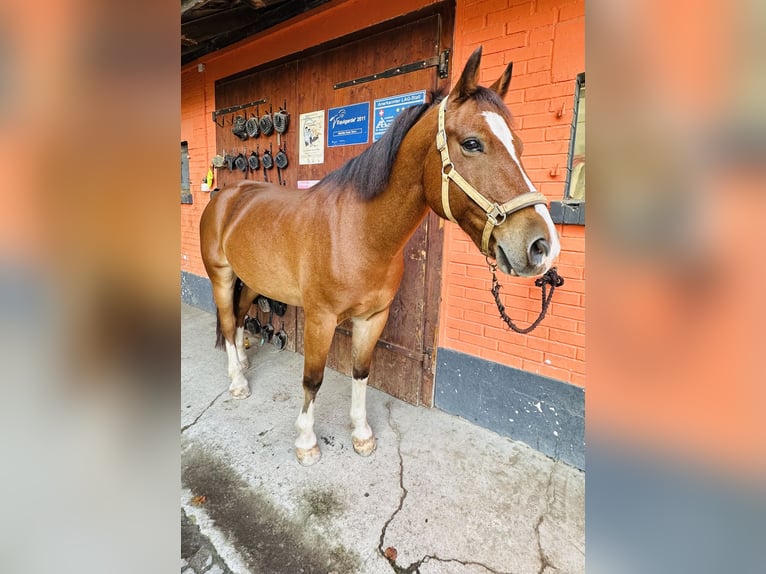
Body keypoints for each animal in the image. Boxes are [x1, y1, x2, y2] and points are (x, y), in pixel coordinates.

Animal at [201, 47, 560, 466]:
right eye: (472, 143)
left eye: (519, 146)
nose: (541, 245)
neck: (358, 233)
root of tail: (227, 195)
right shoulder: (320, 319)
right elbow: (313, 379)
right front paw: (306, 442)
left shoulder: (373, 317)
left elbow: (361, 372)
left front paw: (362, 435)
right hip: (221, 276)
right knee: (228, 323)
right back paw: (238, 382)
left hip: (254, 280)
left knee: (241, 315)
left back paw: (242, 365)